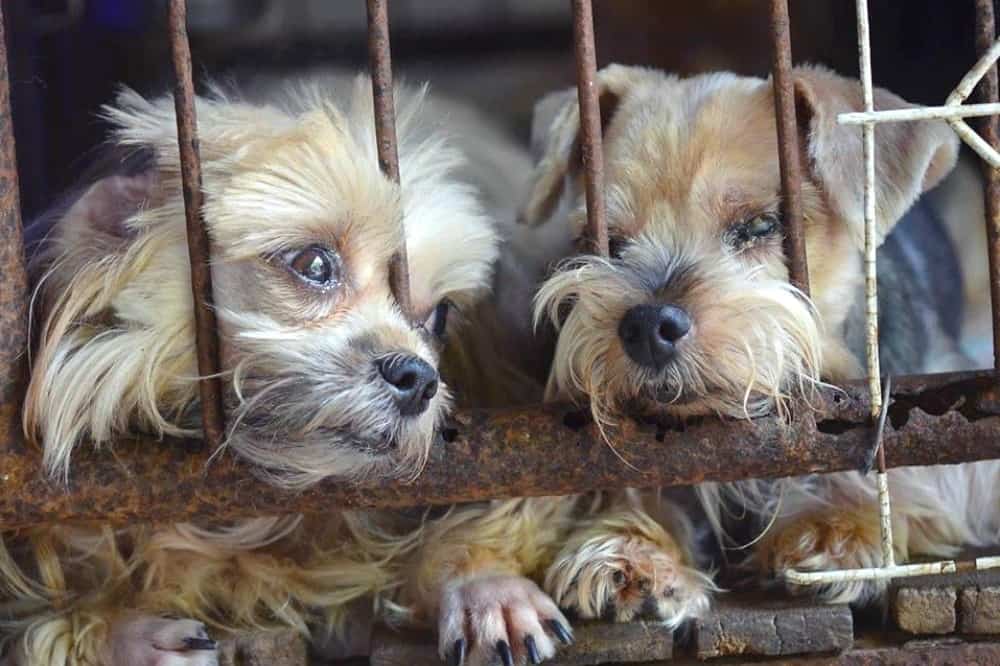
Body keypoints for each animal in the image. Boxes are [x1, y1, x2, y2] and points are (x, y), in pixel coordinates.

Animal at [516, 62, 1000, 616]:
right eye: (608, 244)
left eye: (760, 225)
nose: (647, 327)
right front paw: (630, 549)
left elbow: (908, 465)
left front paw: (835, 527)